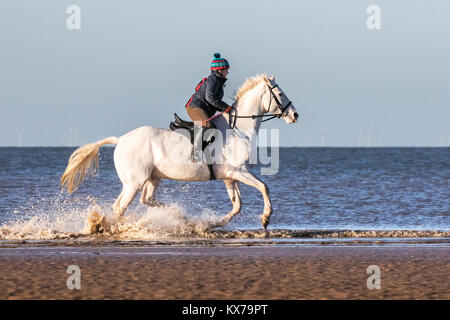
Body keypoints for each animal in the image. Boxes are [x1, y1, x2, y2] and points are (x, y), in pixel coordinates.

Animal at [59, 74, 298, 230]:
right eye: (279, 93)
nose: (295, 115)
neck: (238, 128)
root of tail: (121, 140)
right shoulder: (238, 171)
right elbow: (264, 187)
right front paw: (266, 218)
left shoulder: (230, 176)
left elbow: (237, 206)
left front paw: (212, 224)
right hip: (134, 181)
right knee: (120, 207)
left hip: (153, 178)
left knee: (146, 200)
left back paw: (176, 216)